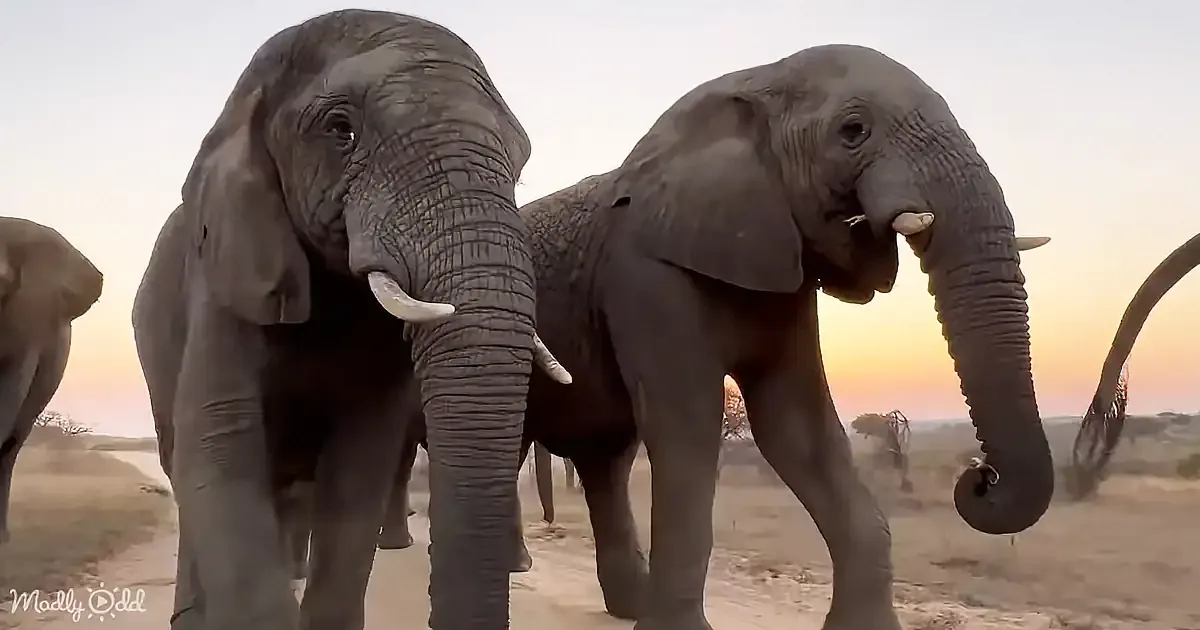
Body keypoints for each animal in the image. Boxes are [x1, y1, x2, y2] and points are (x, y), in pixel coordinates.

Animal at [391, 43, 1056, 630]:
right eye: (854, 131)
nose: (978, 478)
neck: (756, 82)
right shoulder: (645, 273)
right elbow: (688, 423)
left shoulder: (784, 271)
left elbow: (796, 428)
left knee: (604, 460)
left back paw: (623, 603)